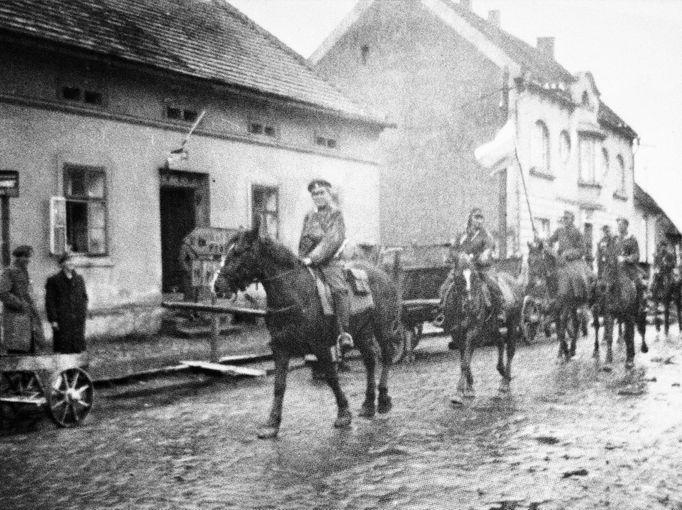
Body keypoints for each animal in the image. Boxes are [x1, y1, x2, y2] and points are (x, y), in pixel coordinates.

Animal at [215, 222, 402, 438]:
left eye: (240, 251)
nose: (217, 285)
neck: (294, 292)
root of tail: (383, 274)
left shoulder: (320, 346)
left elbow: (331, 377)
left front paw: (343, 413)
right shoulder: (280, 347)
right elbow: (279, 385)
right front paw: (272, 423)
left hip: (383, 328)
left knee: (386, 356)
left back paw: (383, 400)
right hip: (362, 332)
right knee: (370, 361)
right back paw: (368, 404)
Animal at [440, 253, 520, 400]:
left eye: (475, 276)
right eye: (457, 276)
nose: (470, 304)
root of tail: (513, 280)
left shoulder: (473, 331)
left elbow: (465, 362)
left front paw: (459, 392)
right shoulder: (456, 334)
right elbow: (464, 358)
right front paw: (469, 388)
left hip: (513, 323)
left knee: (510, 350)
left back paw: (504, 385)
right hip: (492, 328)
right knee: (500, 341)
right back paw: (502, 371)